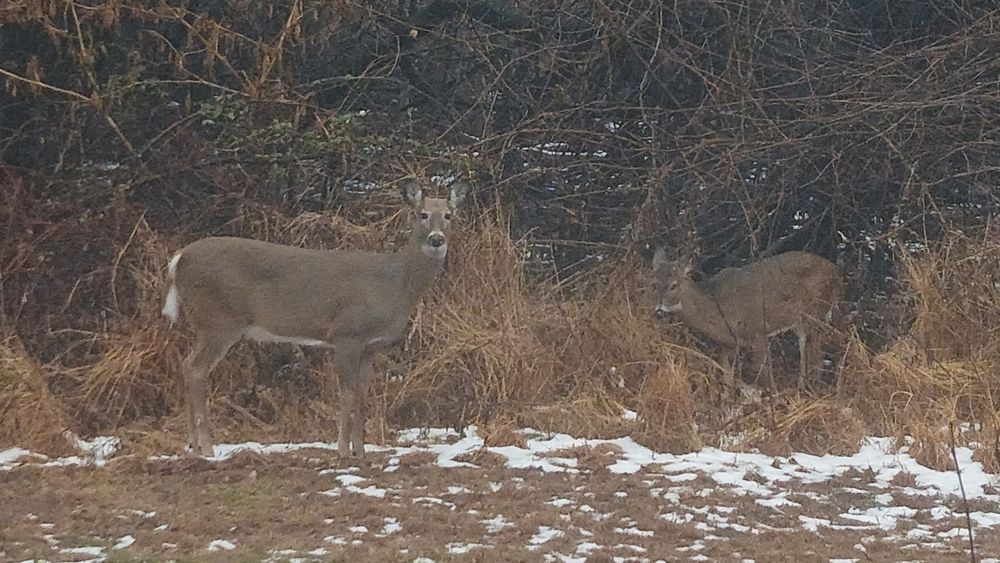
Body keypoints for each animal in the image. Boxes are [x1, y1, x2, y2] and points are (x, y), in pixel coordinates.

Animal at [161, 179, 469, 458]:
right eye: (422, 214)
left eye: (449, 215)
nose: (437, 240)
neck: (394, 286)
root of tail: (179, 258)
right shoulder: (346, 334)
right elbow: (346, 393)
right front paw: (343, 451)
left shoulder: (370, 346)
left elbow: (362, 394)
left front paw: (361, 451)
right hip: (217, 320)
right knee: (196, 369)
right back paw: (207, 447)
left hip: (209, 323)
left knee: (188, 366)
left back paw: (193, 446)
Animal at [650, 248, 842, 396]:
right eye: (653, 284)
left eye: (673, 285)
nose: (658, 310)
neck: (717, 310)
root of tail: (835, 270)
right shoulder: (727, 345)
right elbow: (727, 378)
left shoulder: (758, 330)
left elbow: (765, 373)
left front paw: (775, 399)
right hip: (800, 321)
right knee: (805, 346)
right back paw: (801, 388)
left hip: (815, 312)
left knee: (816, 352)